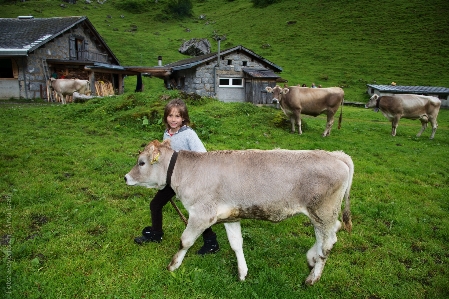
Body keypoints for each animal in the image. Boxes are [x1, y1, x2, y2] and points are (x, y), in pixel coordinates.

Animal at [123, 140, 354, 286]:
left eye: (141, 162)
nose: (125, 177)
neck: (188, 172)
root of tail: (336, 155)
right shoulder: (230, 215)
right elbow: (236, 244)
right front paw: (242, 273)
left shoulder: (201, 214)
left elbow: (185, 241)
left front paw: (173, 265)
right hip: (321, 215)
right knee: (329, 235)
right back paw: (311, 258)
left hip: (322, 212)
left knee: (328, 243)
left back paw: (312, 278)